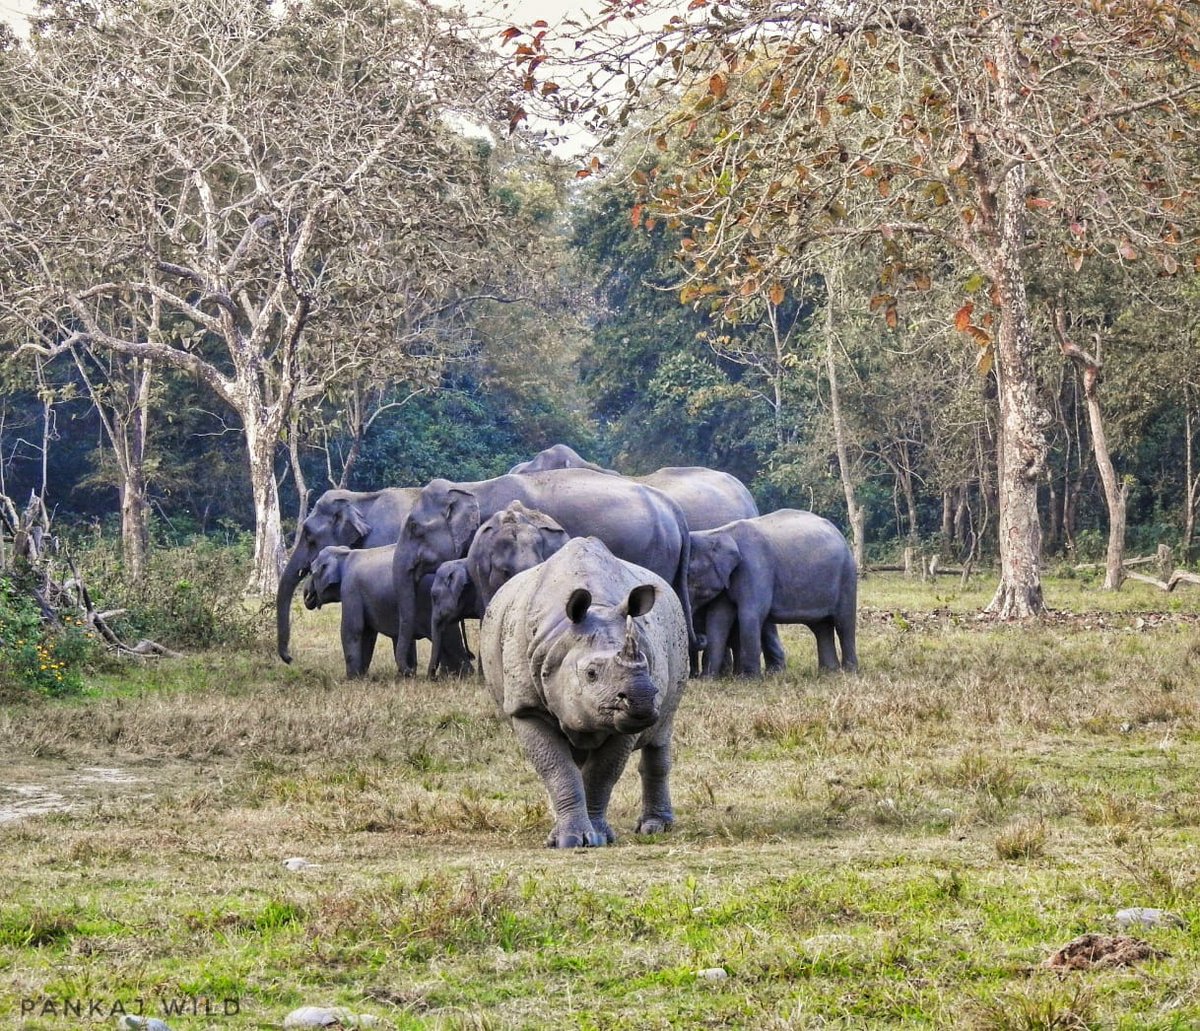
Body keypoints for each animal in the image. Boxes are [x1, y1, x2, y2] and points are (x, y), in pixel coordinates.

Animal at [480, 536, 689, 848]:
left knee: (661, 733)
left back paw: (655, 828)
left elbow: (603, 773)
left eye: (646, 664)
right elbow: (557, 769)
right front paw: (568, 840)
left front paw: (598, 837)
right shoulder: (525, 708)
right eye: (591, 674)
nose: (640, 699)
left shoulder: (625, 724)